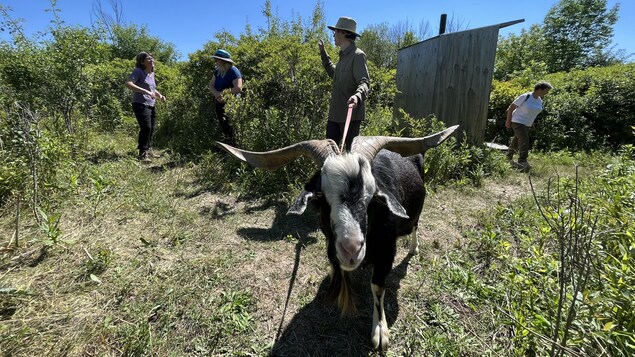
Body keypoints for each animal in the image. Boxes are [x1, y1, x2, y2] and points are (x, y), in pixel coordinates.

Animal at [216, 126, 460, 350]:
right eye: (320, 195)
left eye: (373, 197)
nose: (351, 249)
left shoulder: (386, 250)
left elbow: (377, 287)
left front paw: (380, 331)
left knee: (415, 225)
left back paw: (413, 249)